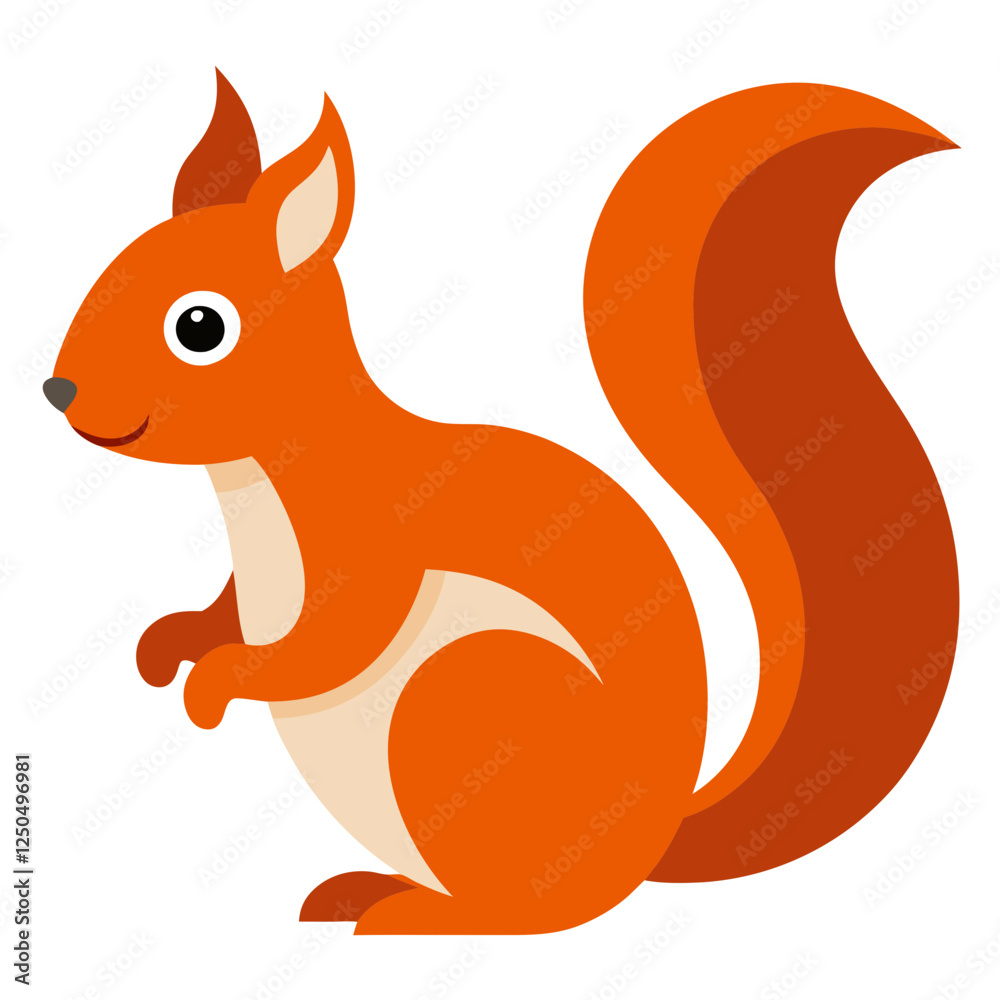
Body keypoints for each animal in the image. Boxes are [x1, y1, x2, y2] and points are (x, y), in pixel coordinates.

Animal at [44, 71, 959, 934]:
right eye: (112, 267)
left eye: (200, 328)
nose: (59, 391)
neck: (258, 480)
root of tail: (649, 849)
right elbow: (229, 606)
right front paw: (172, 645)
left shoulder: (371, 541)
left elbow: (333, 640)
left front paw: (219, 683)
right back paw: (363, 892)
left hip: (463, 702)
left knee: (535, 912)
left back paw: (416, 915)